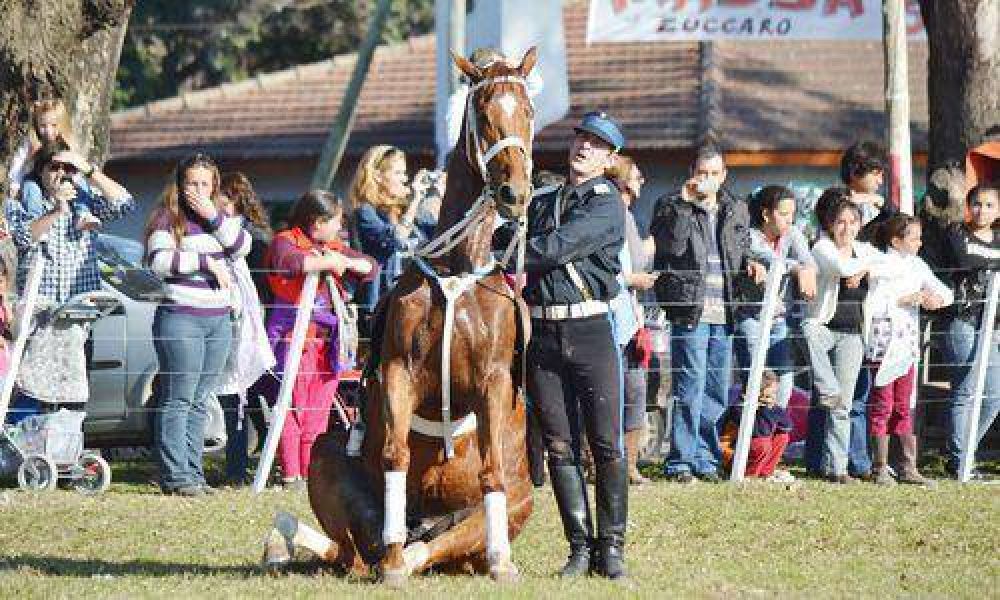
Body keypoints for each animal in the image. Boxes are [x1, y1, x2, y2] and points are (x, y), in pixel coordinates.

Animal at [263, 47, 538, 585]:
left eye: (529, 112)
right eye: (484, 114)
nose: (514, 192)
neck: (458, 270)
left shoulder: (494, 382)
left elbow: (492, 467)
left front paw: (501, 560)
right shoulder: (398, 372)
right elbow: (396, 454)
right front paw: (391, 560)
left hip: (521, 499)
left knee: (439, 545)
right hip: (327, 456)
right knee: (351, 551)